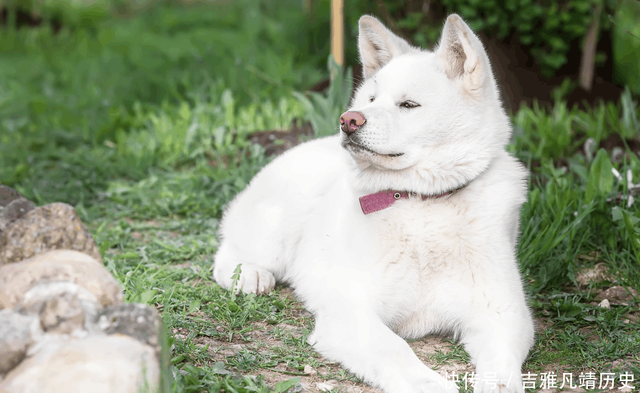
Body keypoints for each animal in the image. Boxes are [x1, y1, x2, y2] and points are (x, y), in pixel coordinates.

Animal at [215, 13, 536, 392]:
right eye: (370, 99)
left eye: (408, 105)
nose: (349, 119)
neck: (420, 203)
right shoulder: (351, 313)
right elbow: (394, 349)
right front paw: (428, 383)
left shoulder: (504, 314)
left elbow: (502, 370)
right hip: (277, 230)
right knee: (228, 250)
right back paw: (249, 274)